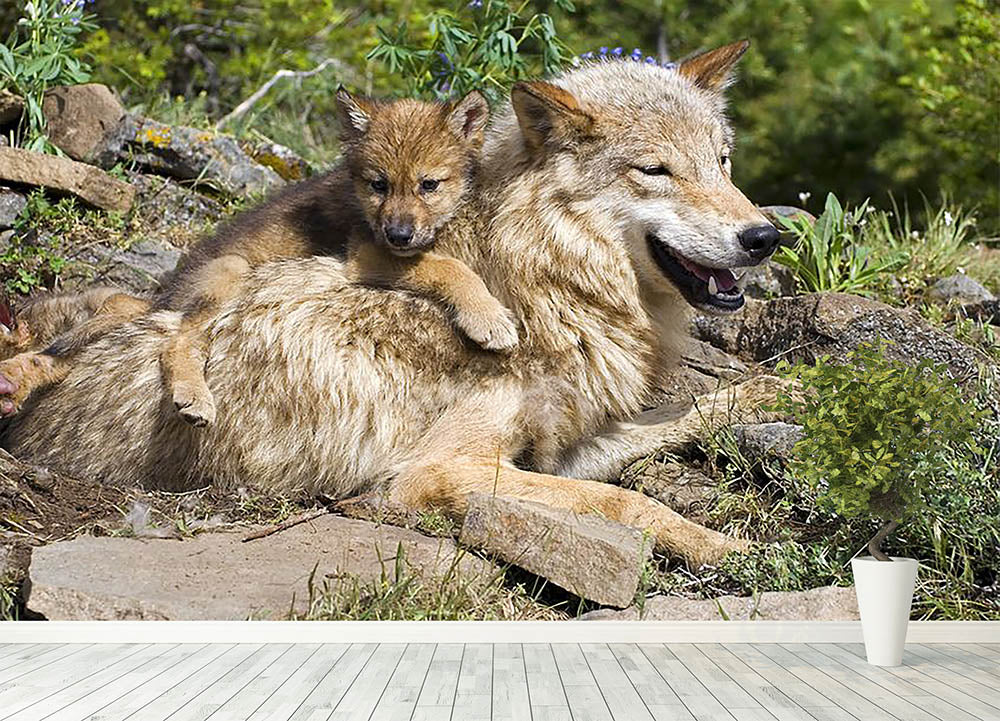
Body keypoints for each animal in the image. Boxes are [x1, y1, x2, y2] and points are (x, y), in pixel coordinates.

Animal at [0, 88, 515, 425]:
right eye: (378, 184)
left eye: (429, 185)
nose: (400, 233)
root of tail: (167, 293)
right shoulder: (366, 253)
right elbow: (449, 266)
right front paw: (489, 318)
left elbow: (444, 259)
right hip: (231, 272)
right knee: (174, 341)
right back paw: (194, 397)